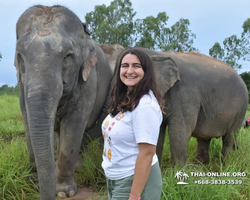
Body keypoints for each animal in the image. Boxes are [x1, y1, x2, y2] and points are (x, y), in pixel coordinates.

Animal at [14, 5, 125, 200]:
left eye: (68, 57)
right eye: (20, 56)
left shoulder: (89, 81)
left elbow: (74, 124)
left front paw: (64, 192)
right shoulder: (22, 86)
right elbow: (28, 119)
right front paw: (33, 182)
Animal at [86, 47, 248, 167]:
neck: (159, 54)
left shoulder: (186, 95)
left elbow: (180, 132)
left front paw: (176, 176)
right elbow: (156, 133)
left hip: (241, 109)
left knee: (229, 138)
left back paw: (225, 166)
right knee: (204, 139)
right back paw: (202, 168)